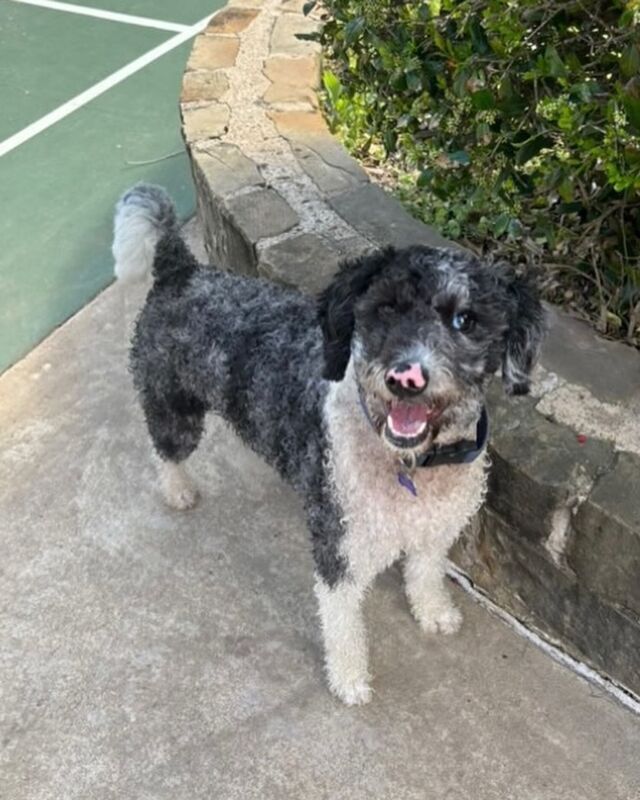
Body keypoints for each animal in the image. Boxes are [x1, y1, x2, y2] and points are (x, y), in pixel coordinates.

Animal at [112, 184, 544, 704]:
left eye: (466, 320)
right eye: (386, 308)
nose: (406, 378)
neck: (411, 464)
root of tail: (183, 269)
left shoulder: (435, 528)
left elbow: (424, 572)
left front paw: (433, 611)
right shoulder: (338, 547)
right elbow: (342, 623)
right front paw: (350, 679)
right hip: (174, 409)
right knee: (164, 450)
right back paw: (177, 490)